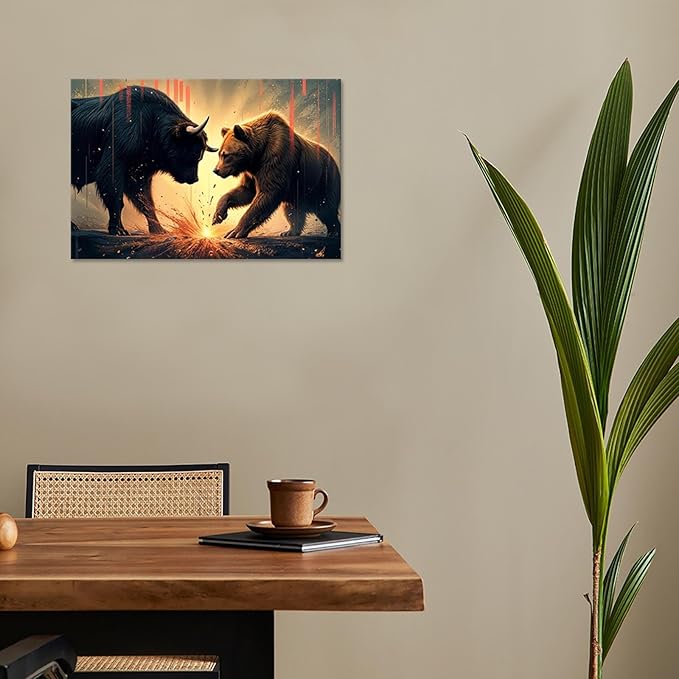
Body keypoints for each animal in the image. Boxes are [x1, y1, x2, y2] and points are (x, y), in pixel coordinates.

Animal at [71, 86, 217, 235]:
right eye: (194, 152)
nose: (194, 179)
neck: (150, 122)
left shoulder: (139, 176)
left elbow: (146, 203)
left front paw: (159, 230)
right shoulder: (114, 167)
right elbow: (116, 199)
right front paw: (118, 230)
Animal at [212, 111, 341, 239]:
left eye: (226, 155)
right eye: (219, 154)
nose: (216, 170)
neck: (258, 155)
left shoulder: (276, 157)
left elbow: (268, 193)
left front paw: (234, 231)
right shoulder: (252, 172)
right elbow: (246, 190)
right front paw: (218, 214)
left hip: (323, 181)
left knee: (327, 209)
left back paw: (333, 231)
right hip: (297, 192)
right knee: (291, 210)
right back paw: (290, 231)